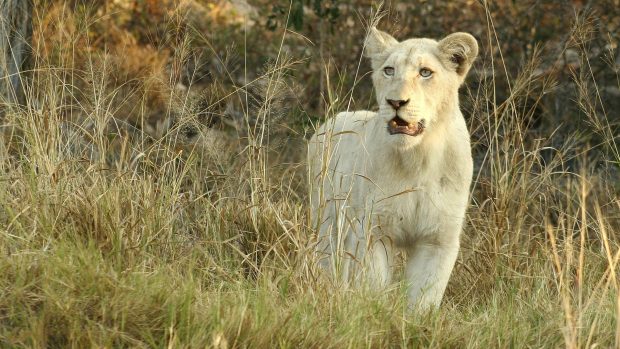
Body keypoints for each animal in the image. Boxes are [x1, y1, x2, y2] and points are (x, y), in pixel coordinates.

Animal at [308, 28, 478, 308]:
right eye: (389, 70)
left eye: (425, 72)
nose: (395, 102)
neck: (418, 159)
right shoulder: (373, 229)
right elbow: (373, 284)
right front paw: (374, 312)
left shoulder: (438, 238)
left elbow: (424, 297)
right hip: (328, 220)